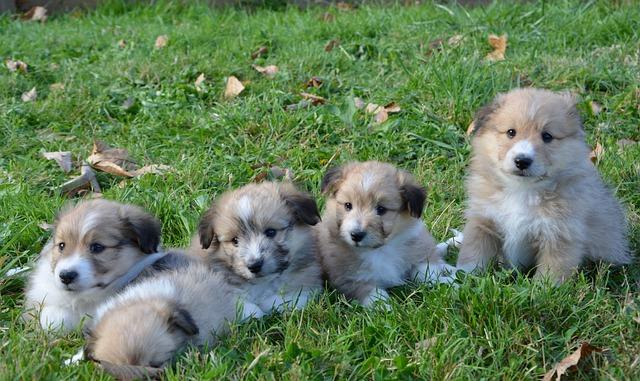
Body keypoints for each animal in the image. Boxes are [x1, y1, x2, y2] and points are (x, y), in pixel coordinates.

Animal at [316, 160, 456, 306]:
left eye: (381, 209)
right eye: (348, 205)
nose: (356, 235)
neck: (379, 249)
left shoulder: (417, 249)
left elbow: (426, 271)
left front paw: (444, 282)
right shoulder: (350, 279)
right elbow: (373, 294)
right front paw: (385, 307)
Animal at [458, 87, 632, 282]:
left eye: (547, 136)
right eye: (511, 132)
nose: (522, 161)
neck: (522, 189)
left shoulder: (560, 234)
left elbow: (551, 272)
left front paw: (541, 288)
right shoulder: (483, 221)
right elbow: (473, 253)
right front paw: (464, 278)